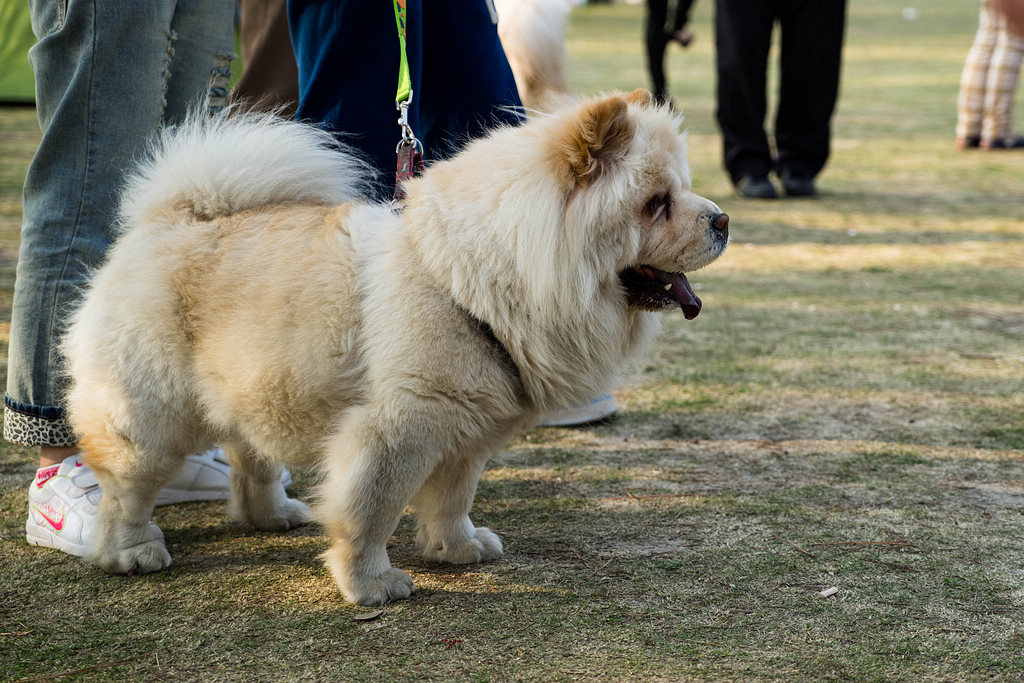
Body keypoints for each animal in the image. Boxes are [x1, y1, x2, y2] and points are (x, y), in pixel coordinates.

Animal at [61, 89, 729, 602]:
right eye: (657, 204)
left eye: (685, 190)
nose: (721, 219)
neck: (475, 281)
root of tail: (169, 217)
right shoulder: (397, 426)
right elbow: (371, 509)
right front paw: (371, 583)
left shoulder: (468, 430)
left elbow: (453, 497)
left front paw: (458, 548)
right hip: (149, 416)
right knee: (125, 489)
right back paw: (132, 552)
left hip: (251, 387)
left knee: (249, 455)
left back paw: (272, 515)